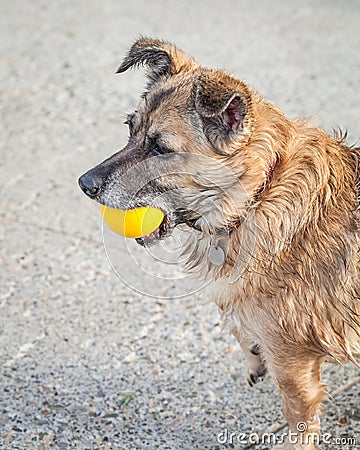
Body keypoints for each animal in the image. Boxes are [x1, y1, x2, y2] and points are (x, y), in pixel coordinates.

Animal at [79, 39, 360, 450]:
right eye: (130, 128)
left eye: (160, 149)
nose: (85, 183)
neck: (260, 191)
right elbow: (236, 317)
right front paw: (253, 355)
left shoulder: (294, 363)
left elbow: (299, 421)